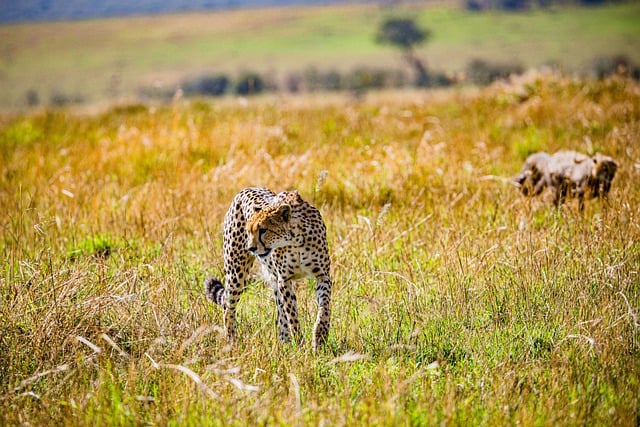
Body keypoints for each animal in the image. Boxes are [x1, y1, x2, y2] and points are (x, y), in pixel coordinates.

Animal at [205, 187, 332, 352]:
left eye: (263, 230)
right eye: (249, 231)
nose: (251, 248)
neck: (296, 239)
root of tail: (246, 189)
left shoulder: (323, 276)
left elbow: (324, 308)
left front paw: (319, 339)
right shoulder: (285, 280)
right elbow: (292, 315)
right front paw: (300, 343)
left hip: (273, 281)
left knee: (280, 313)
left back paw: (284, 342)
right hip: (236, 273)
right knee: (228, 307)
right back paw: (232, 342)